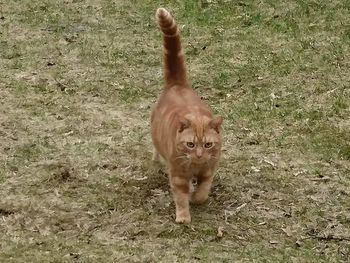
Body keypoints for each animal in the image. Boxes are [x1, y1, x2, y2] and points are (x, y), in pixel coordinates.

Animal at [151, 7, 223, 223]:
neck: (195, 166)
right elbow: (181, 197)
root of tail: (177, 84)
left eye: (207, 145)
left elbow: (203, 190)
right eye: (190, 144)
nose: (199, 154)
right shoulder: (178, 176)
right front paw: (183, 216)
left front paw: (197, 198)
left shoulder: (209, 170)